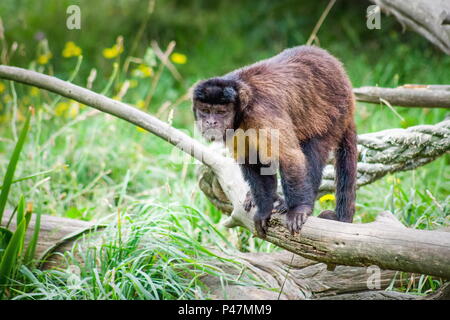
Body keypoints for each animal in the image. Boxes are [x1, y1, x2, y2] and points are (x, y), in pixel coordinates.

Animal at [192, 47, 356, 238]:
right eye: (205, 110)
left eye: (220, 112)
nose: (211, 122)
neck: (243, 109)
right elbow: (253, 161)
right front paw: (265, 209)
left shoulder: (261, 113)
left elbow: (290, 157)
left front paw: (299, 209)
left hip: (334, 114)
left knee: (312, 148)